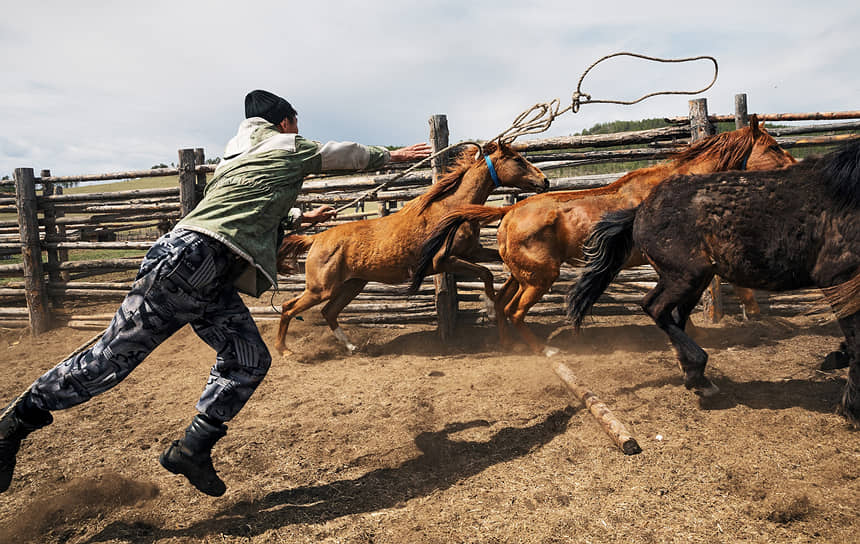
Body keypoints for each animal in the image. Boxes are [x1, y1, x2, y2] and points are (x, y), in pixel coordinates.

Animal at [272, 140, 548, 354]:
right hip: (321, 288)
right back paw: (284, 350)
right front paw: (490, 308)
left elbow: (496, 265)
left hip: (352, 284)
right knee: (289, 308)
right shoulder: (443, 261)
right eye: (517, 159)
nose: (544, 181)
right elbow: (486, 273)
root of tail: (317, 239)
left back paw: (351, 347)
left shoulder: (472, 252)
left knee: (329, 312)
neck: (450, 210)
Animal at [408, 117, 792, 354]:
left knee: (501, 303)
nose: (794, 168)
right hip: (541, 277)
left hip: (522, 274)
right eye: (773, 147)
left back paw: (510, 345)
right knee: (515, 311)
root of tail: (508, 213)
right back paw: (541, 350)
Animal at [564, 141, 860, 430]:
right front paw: (851, 410)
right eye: (773, 147)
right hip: (685, 277)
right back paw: (698, 374)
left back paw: (693, 375)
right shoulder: (839, 279)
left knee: (673, 316)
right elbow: (856, 342)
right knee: (655, 308)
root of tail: (641, 209)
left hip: (694, 280)